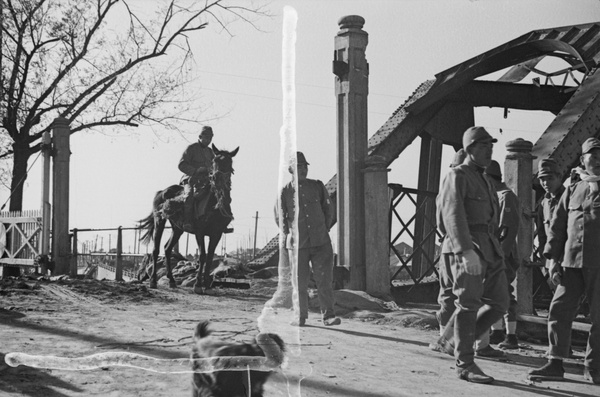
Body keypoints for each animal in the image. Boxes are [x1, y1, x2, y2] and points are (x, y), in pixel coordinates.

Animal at [137, 144, 238, 292]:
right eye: (215, 161)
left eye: (230, 162)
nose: (217, 178)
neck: (214, 204)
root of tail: (162, 192)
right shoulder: (199, 232)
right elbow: (202, 256)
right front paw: (198, 285)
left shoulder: (217, 233)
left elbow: (209, 257)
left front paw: (207, 284)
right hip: (159, 221)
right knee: (156, 250)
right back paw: (153, 281)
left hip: (177, 229)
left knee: (167, 249)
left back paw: (172, 280)